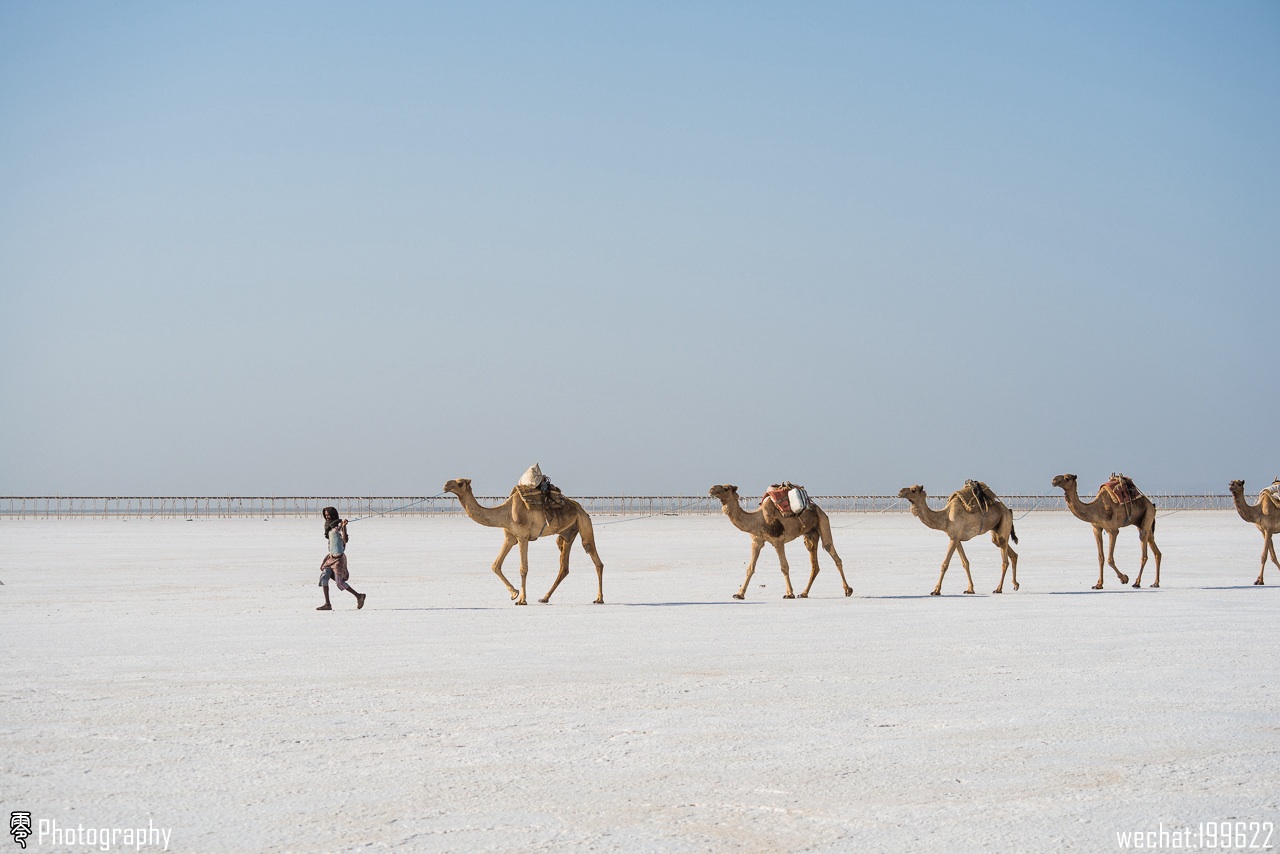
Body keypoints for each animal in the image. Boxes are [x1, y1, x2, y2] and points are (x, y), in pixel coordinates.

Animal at [442, 478, 601, 604]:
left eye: (460, 483)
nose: (445, 485)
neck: (505, 514)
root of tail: (581, 509)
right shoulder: (510, 538)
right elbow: (495, 565)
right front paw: (514, 593)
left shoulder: (523, 537)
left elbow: (523, 568)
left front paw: (522, 599)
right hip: (568, 533)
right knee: (564, 567)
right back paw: (544, 598)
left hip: (583, 522)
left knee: (593, 555)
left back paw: (599, 599)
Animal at [711, 481, 849, 601]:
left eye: (726, 488)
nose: (711, 489)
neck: (758, 520)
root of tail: (816, 507)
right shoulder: (757, 541)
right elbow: (750, 568)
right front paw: (739, 594)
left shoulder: (778, 541)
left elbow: (784, 566)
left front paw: (789, 594)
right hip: (810, 534)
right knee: (815, 564)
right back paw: (804, 593)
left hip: (823, 520)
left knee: (832, 551)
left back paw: (848, 590)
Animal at [896, 483, 1024, 599]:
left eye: (914, 490)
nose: (900, 491)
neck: (945, 518)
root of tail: (1008, 510)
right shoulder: (956, 538)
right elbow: (965, 563)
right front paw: (970, 589)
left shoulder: (955, 537)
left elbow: (945, 564)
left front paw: (936, 591)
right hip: (995, 531)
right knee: (1011, 552)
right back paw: (1015, 585)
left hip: (1004, 523)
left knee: (1004, 560)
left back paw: (998, 589)